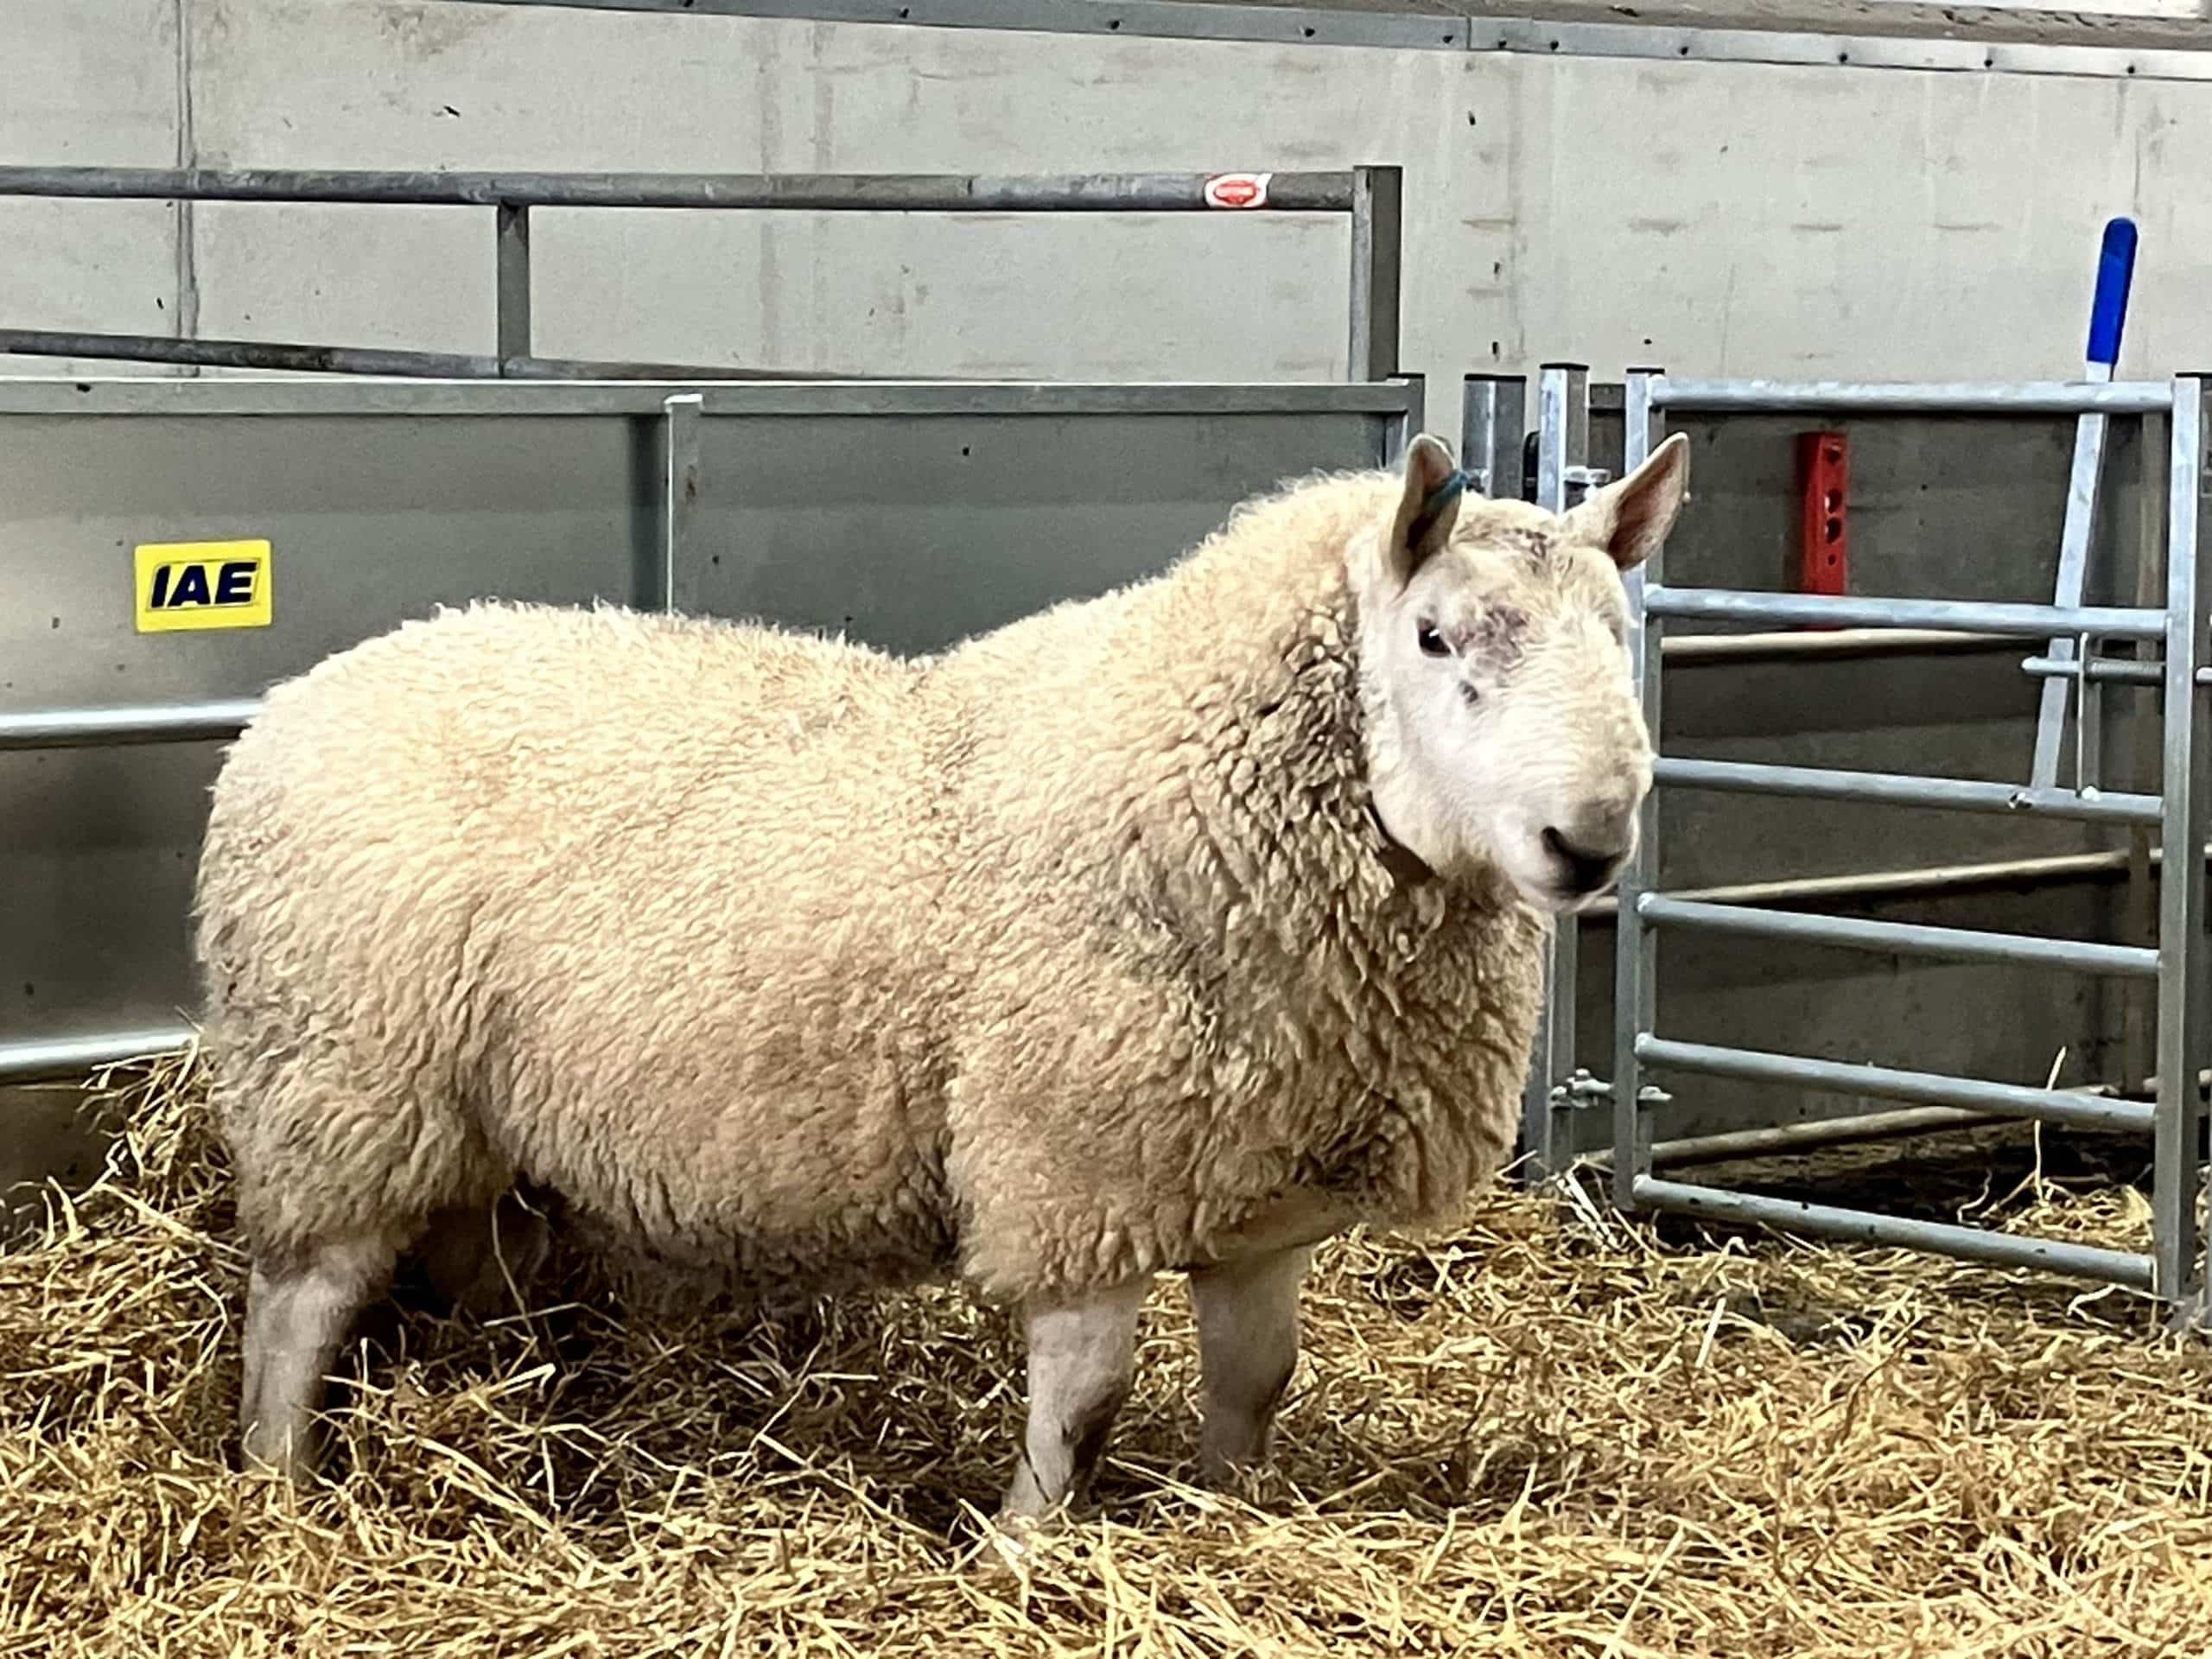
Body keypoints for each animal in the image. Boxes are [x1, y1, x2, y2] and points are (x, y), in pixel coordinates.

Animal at [194, 428, 1688, 1516]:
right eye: (1436, 638)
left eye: (1620, 636)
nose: (1591, 842)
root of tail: (303, 697)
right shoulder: (1078, 1165)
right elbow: (1084, 1400)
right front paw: (1026, 1545)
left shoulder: (1262, 1196)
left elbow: (1256, 1384)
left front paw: (1235, 1520)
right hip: (337, 1080)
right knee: (298, 1302)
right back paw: (277, 1482)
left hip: (458, 1102)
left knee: (457, 1246)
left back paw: (503, 1380)